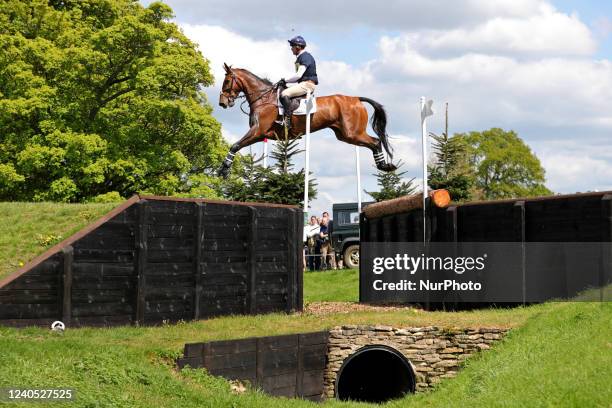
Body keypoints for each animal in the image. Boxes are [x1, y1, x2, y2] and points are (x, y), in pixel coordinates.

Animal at [218, 63, 400, 178]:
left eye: (226, 81)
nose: (222, 103)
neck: (264, 98)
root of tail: (356, 99)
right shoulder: (262, 135)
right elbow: (237, 145)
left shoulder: (258, 132)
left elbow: (235, 145)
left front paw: (224, 170)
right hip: (344, 135)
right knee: (374, 142)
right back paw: (385, 166)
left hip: (353, 133)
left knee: (375, 142)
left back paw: (384, 166)